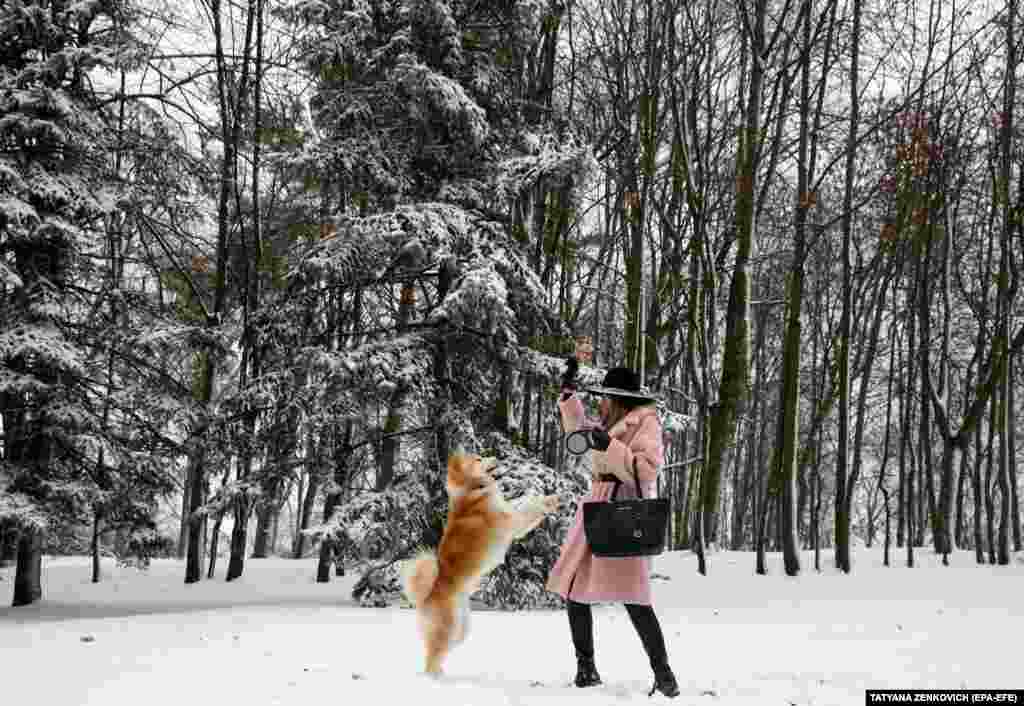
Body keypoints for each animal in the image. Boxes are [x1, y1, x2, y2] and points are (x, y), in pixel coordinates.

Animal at [399, 454, 561, 676]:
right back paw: (434, 679)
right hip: (447, 628)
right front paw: (549, 500)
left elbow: (525, 503)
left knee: (439, 652)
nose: (495, 457)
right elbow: (529, 507)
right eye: (478, 459)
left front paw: (545, 496)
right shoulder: (512, 523)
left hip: (460, 629)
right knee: (432, 657)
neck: (473, 489)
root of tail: (426, 596)